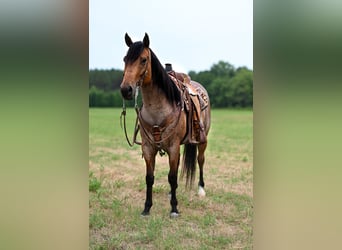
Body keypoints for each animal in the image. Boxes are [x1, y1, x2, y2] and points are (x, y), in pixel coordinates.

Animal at [120, 33, 211, 217]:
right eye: (125, 59)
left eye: (143, 59)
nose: (126, 89)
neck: (158, 109)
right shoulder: (148, 148)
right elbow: (150, 178)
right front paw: (147, 208)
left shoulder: (173, 147)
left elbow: (172, 177)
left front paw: (174, 208)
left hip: (202, 141)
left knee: (200, 160)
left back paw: (201, 189)